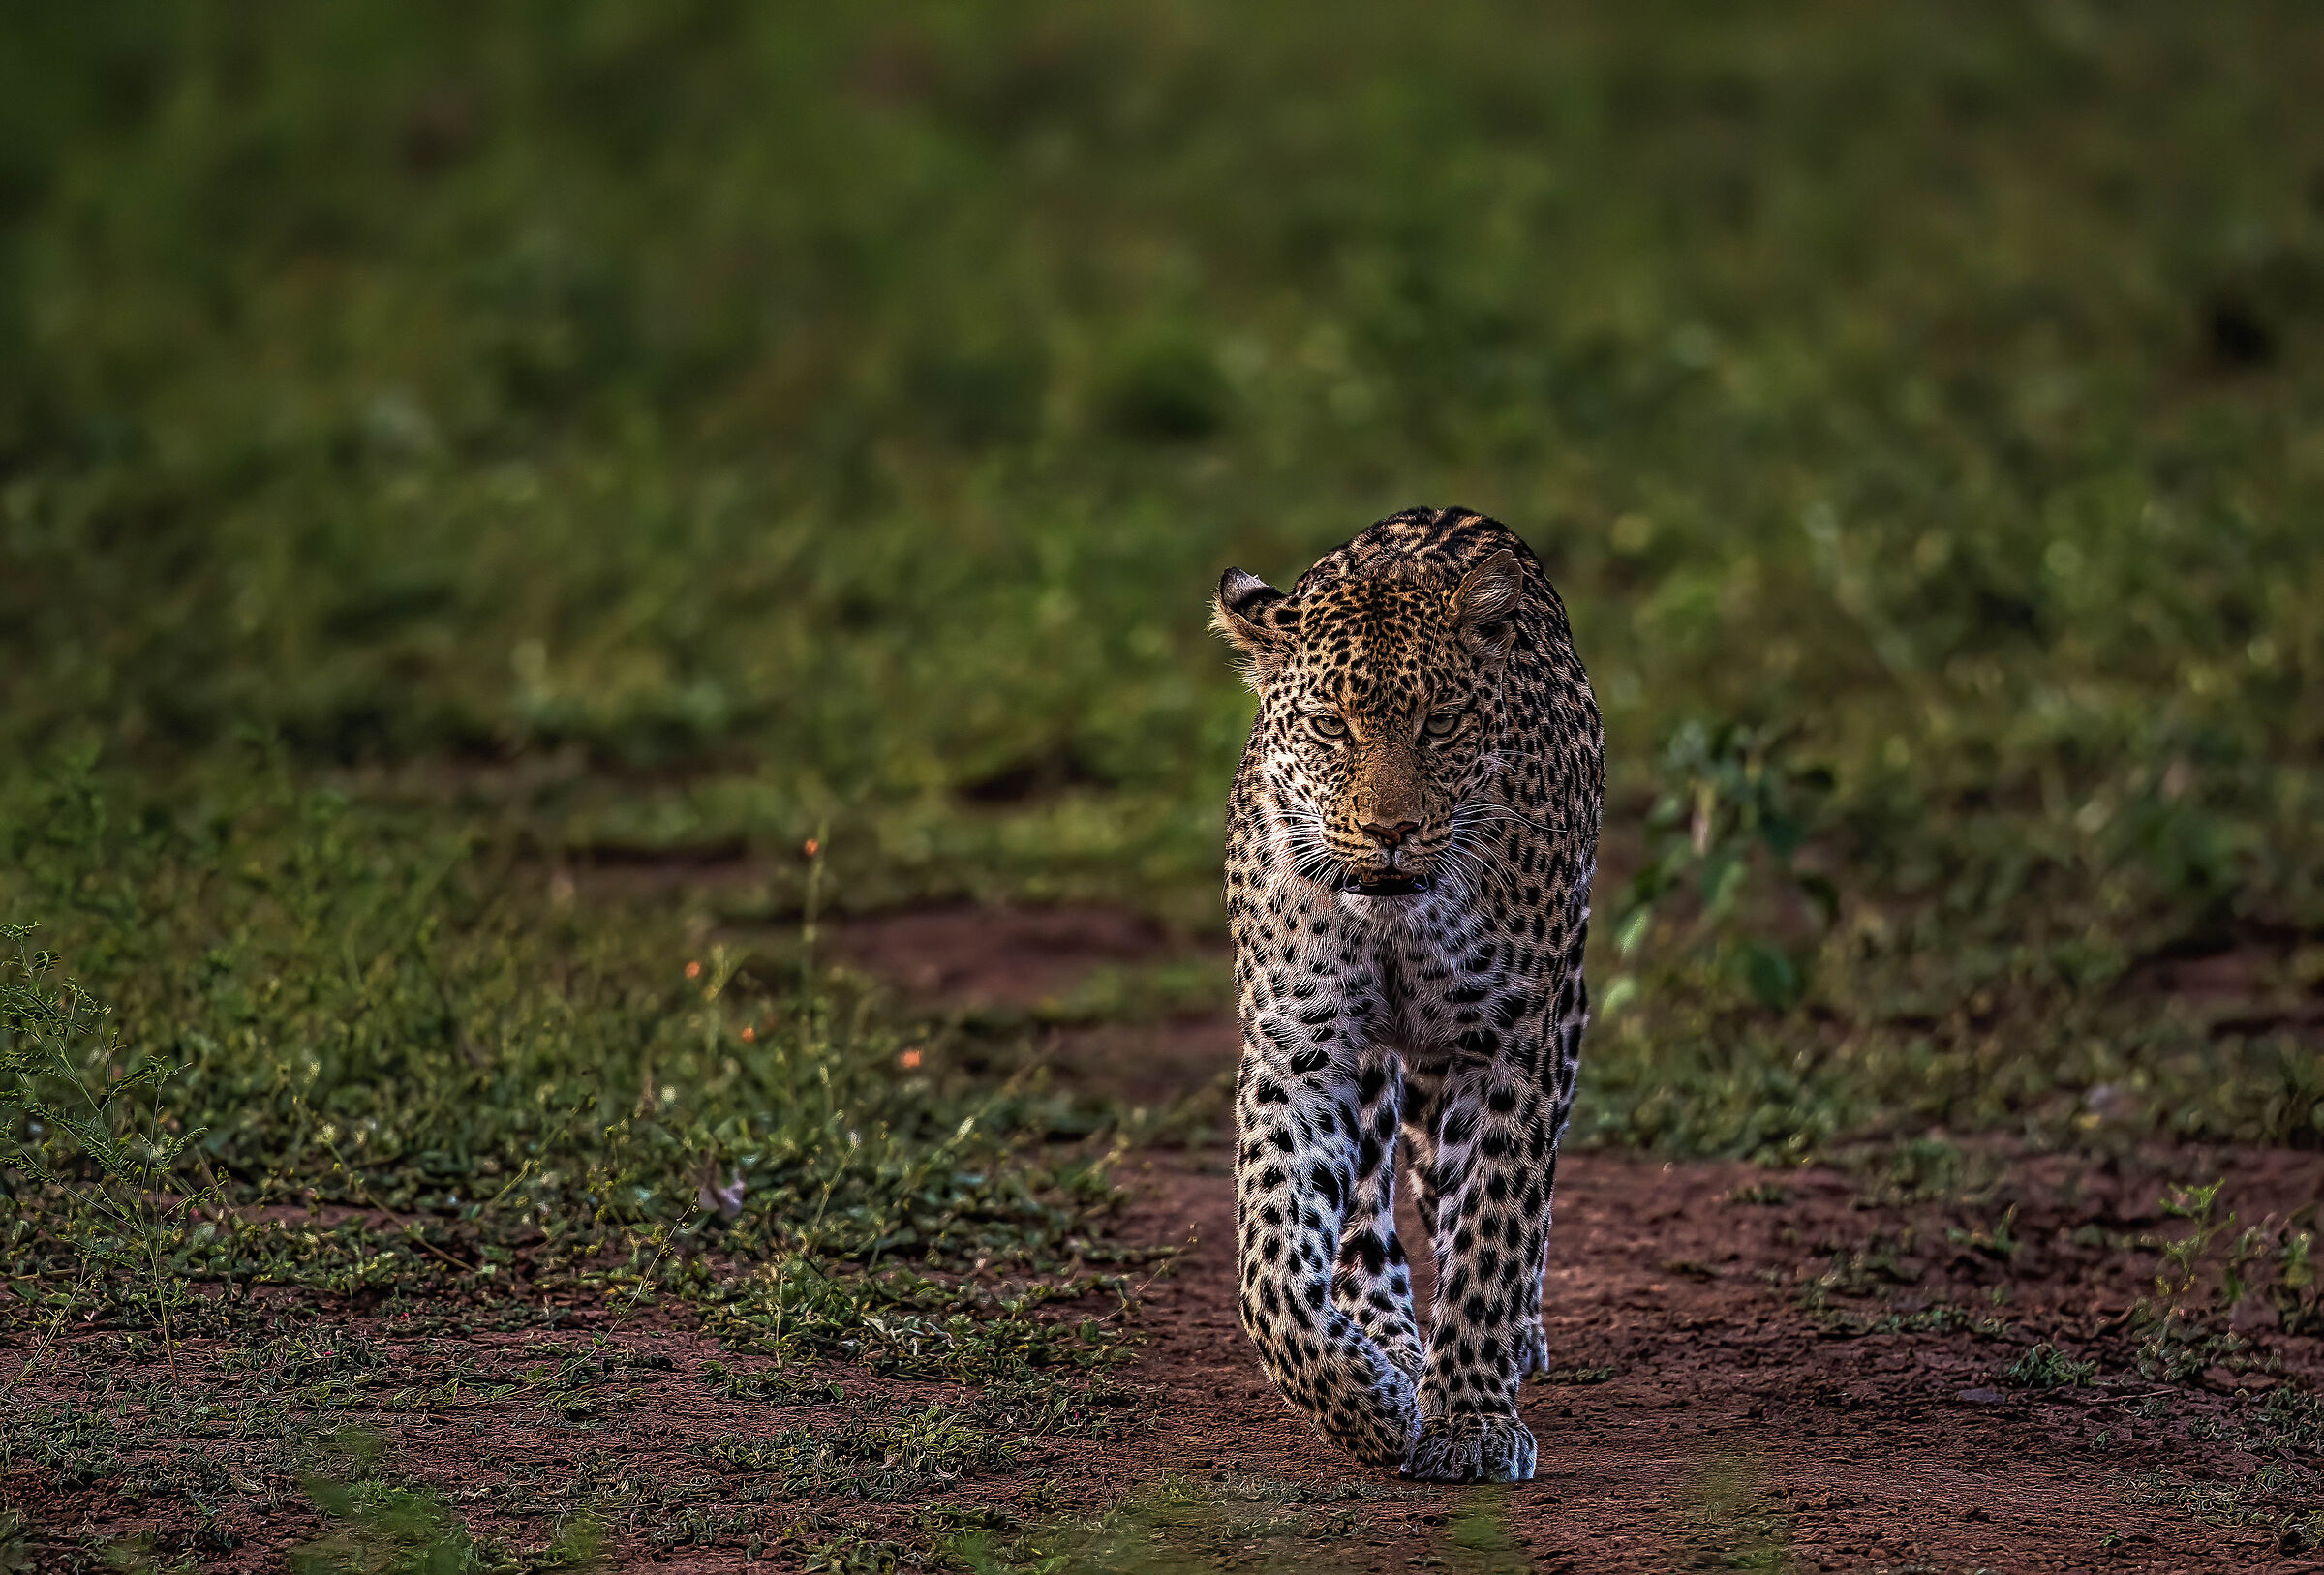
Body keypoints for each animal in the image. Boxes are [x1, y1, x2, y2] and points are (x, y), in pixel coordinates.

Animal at [1210, 505, 1604, 1483]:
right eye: (1329, 725)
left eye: (1440, 721)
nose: (1390, 830)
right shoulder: (1299, 1046)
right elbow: (1271, 1271)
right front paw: (1373, 1404)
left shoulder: (1511, 1043)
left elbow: (1496, 1228)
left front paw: (1469, 1418)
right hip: (1371, 1068)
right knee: (1365, 1217)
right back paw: (1386, 1341)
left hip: (1563, 1011)